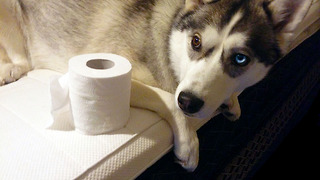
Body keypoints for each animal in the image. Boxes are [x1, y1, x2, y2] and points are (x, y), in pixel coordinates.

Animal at [0, 0, 310, 171]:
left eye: (240, 58)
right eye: (195, 41)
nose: (189, 101)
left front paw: (231, 101)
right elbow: (167, 97)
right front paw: (188, 142)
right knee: (23, 60)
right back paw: (10, 70)